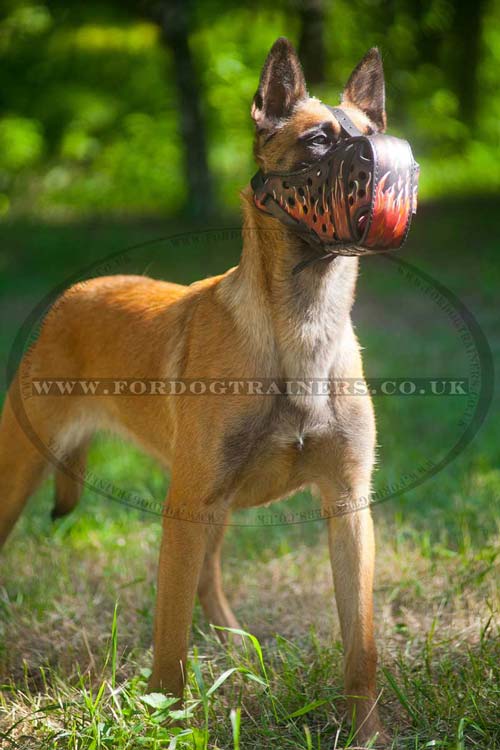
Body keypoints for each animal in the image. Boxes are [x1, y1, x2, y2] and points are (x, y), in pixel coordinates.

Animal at [0, 39, 388, 748]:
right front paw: (167, 720)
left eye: (374, 137)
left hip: (214, 503)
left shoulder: (348, 509)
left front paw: (366, 732)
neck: (300, 328)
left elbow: (360, 647)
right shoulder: (184, 510)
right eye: (319, 140)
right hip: (25, 471)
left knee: (209, 576)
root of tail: (75, 294)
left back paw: (235, 645)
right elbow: (169, 640)